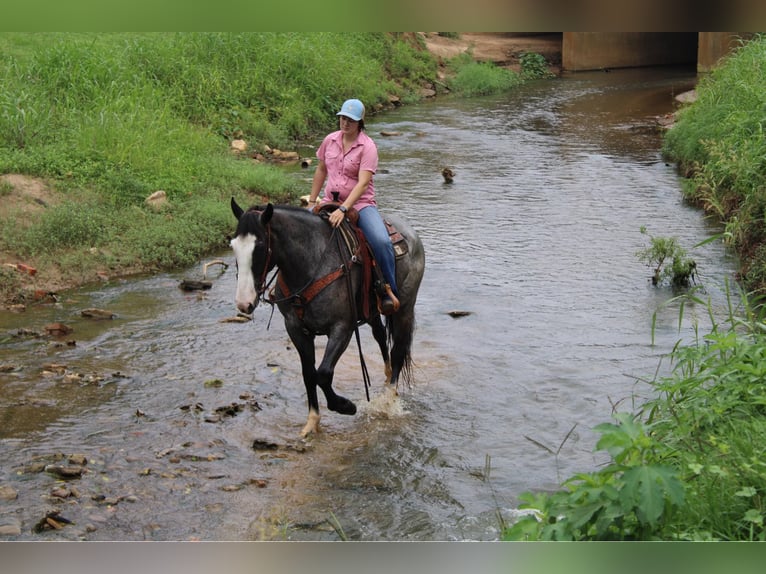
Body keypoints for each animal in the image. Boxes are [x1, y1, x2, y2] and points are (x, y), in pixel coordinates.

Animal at [231, 198, 428, 436]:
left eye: (259, 246)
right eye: (233, 246)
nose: (244, 303)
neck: (312, 263)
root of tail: (411, 233)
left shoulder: (342, 328)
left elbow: (323, 373)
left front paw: (346, 406)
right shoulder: (295, 328)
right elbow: (309, 373)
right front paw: (312, 422)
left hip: (404, 306)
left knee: (398, 349)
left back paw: (389, 398)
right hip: (371, 310)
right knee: (380, 335)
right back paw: (387, 374)